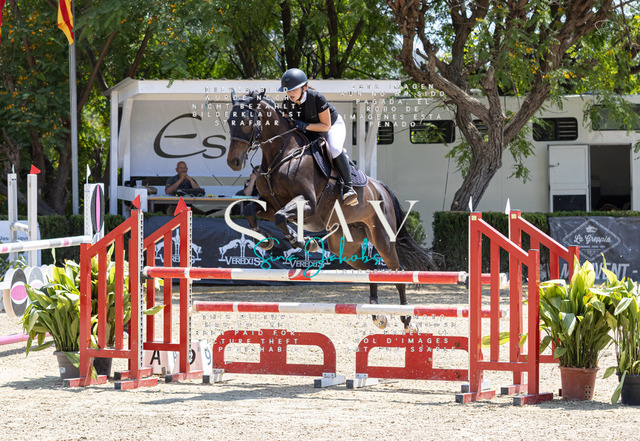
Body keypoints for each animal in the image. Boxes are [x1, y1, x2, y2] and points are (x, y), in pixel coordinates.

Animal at [226, 90, 438, 330]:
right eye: (229, 122)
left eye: (245, 122)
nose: (233, 162)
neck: (281, 154)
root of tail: (381, 188)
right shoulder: (270, 204)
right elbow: (252, 211)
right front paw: (265, 240)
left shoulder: (307, 204)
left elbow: (281, 218)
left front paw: (302, 242)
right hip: (346, 245)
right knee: (368, 269)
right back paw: (377, 314)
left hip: (382, 238)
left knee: (398, 271)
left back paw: (407, 319)